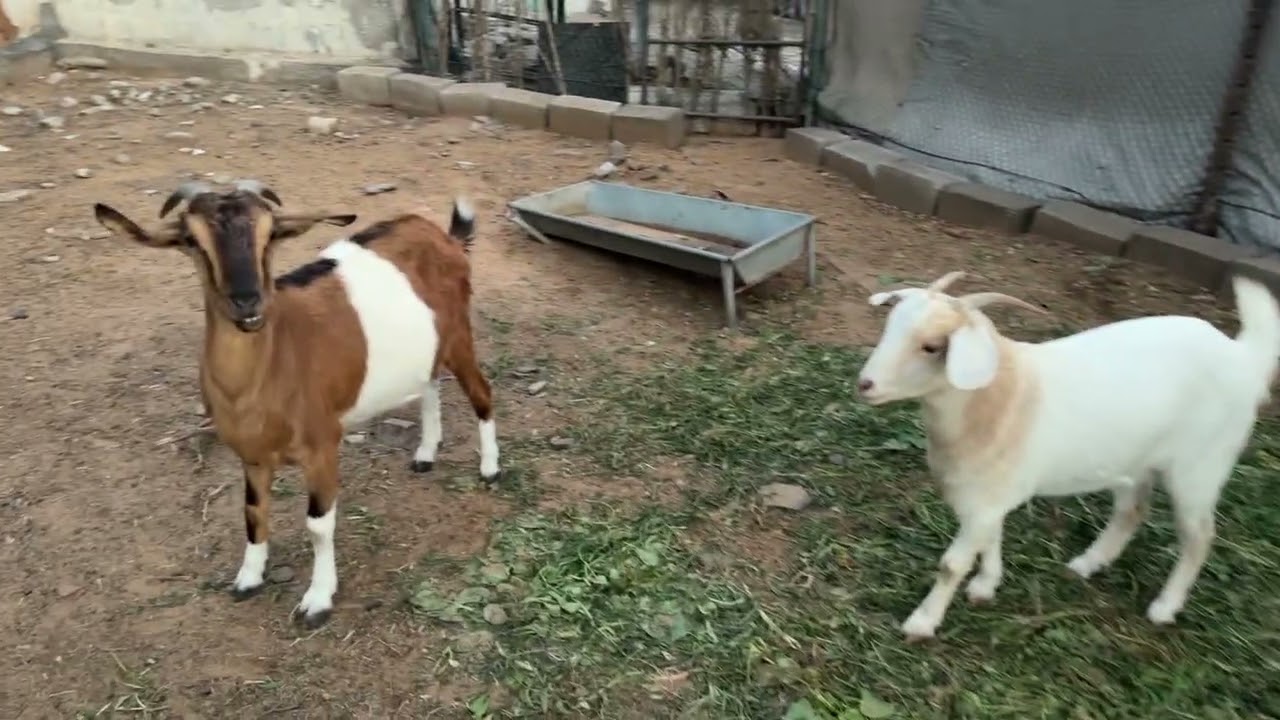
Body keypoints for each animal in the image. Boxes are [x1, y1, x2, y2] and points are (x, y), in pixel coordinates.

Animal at [93, 180, 501, 628]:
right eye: (192, 240)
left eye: (270, 234)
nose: (247, 302)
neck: (270, 370)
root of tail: (445, 238)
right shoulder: (251, 455)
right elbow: (253, 512)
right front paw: (248, 578)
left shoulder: (322, 446)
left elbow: (318, 525)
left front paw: (318, 599)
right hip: (428, 346)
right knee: (428, 384)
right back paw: (426, 453)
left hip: (458, 335)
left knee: (482, 393)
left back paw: (490, 468)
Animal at [856, 270, 1280, 641]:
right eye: (889, 326)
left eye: (932, 347)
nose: (865, 384)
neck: (1001, 395)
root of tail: (1243, 355)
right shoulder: (990, 498)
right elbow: (991, 539)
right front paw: (986, 585)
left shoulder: (987, 500)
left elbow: (952, 564)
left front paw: (922, 622)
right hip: (1133, 461)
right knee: (1132, 510)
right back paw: (1089, 564)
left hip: (1202, 466)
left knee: (1199, 535)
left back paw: (1165, 607)